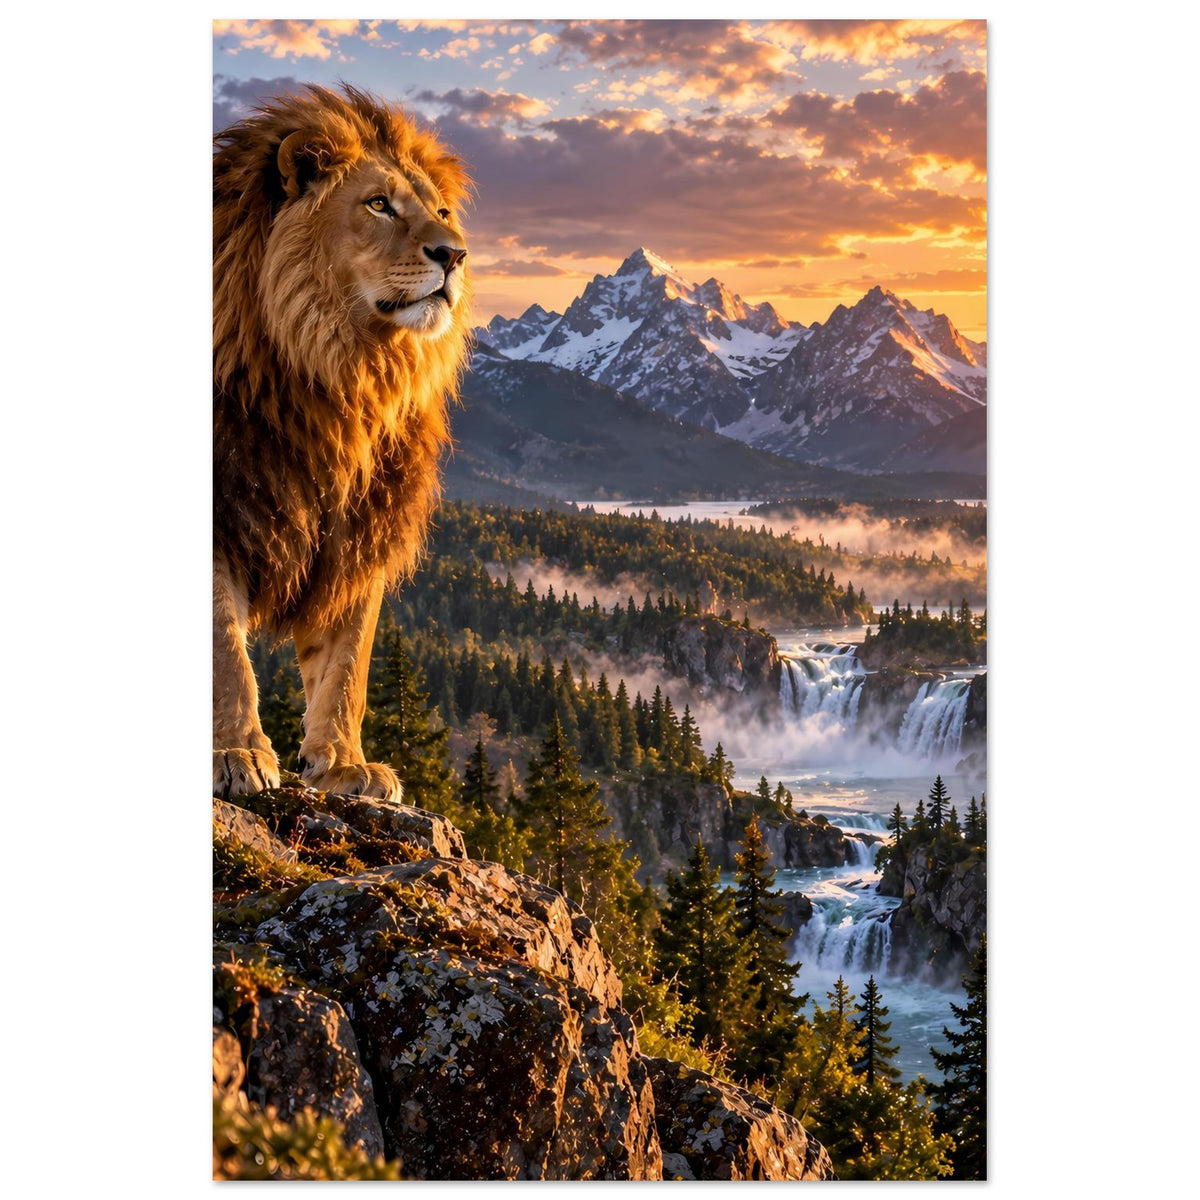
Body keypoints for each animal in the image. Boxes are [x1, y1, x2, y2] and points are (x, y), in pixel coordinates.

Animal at [213, 84, 472, 803]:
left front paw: (344, 766)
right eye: (378, 204)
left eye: (442, 212)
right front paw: (237, 753)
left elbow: (348, 663)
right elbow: (223, 648)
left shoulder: (359, 529)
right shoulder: (225, 507)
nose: (454, 255)